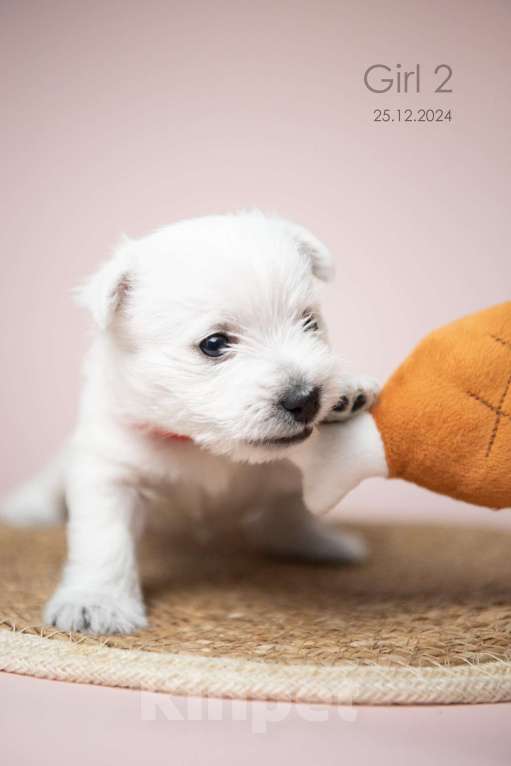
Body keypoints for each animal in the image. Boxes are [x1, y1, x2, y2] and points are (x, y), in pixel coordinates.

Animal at [1, 212, 380, 636]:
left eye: (310, 323)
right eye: (214, 344)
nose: (306, 399)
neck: (200, 442)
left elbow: (292, 500)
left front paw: (348, 391)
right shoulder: (110, 471)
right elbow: (104, 539)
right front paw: (96, 603)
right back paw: (27, 507)